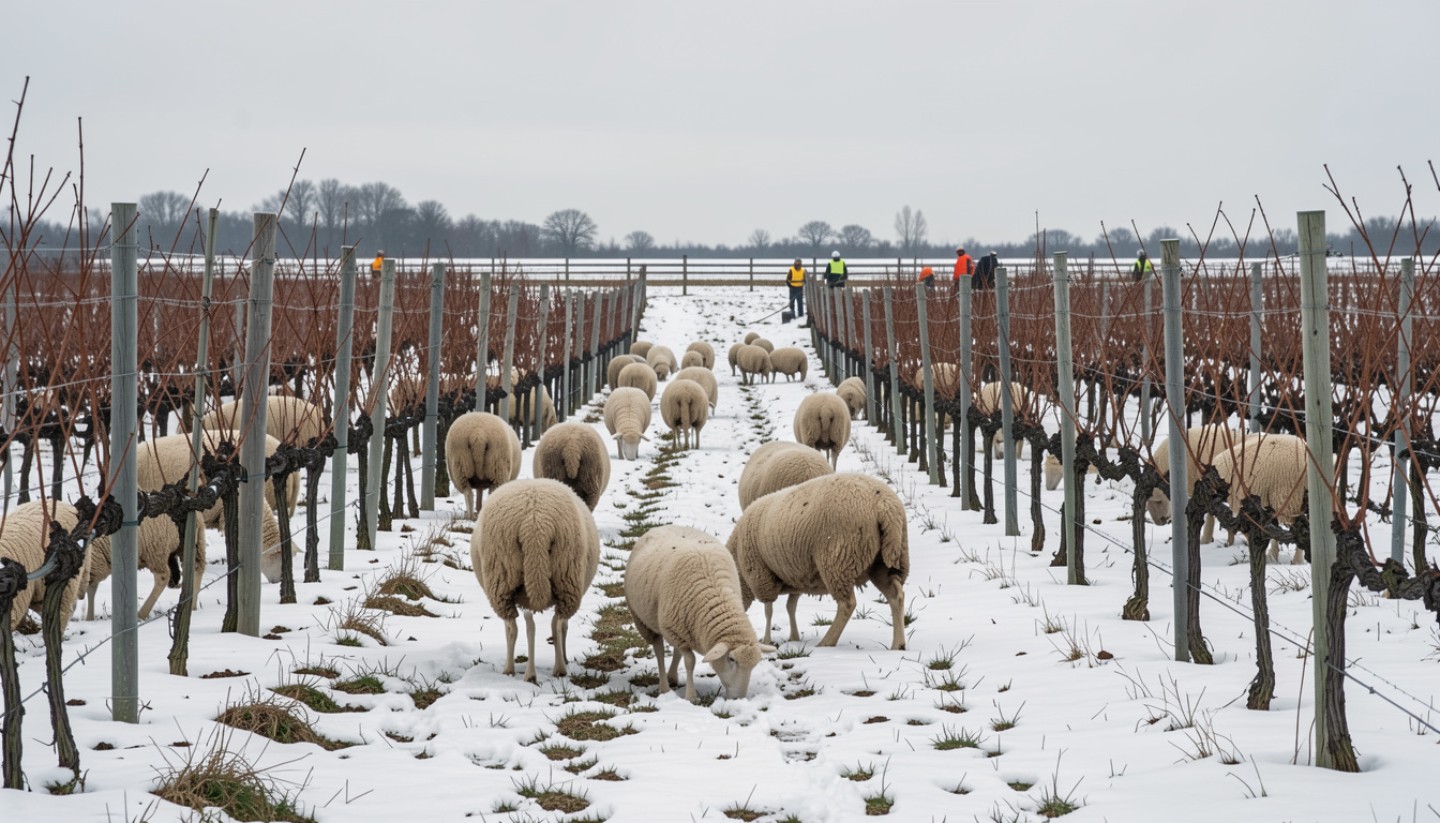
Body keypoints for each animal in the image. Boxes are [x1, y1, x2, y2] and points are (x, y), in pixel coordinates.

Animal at [471, 478, 600, 683]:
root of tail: (534, 523)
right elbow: (560, 625)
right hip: (564, 578)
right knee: (551, 623)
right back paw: (548, 670)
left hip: (503, 581)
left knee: (514, 626)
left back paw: (514, 669)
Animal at [626, 525, 775, 700]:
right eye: (731, 659)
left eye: (754, 665)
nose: (739, 698)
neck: (716, 595)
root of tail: (661, 527)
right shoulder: (673, 628)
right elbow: (690, 661)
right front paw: (691, 696)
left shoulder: (679, 627)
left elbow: (683, 655)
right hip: (645, 621)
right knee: (659, 651)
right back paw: (664, 687)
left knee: (675, 650)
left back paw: (672, 677)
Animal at [726, 473, 908, 650]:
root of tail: (884, 504)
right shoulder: (795, 578)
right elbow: (790, 607)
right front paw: (794, 637)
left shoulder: (761, 576)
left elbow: (768, 610)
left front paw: (766, 640)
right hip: (885, 560)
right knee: (896, 595)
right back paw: (898, 644)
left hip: (838, 559)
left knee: (847, 604)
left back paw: (827, 641)